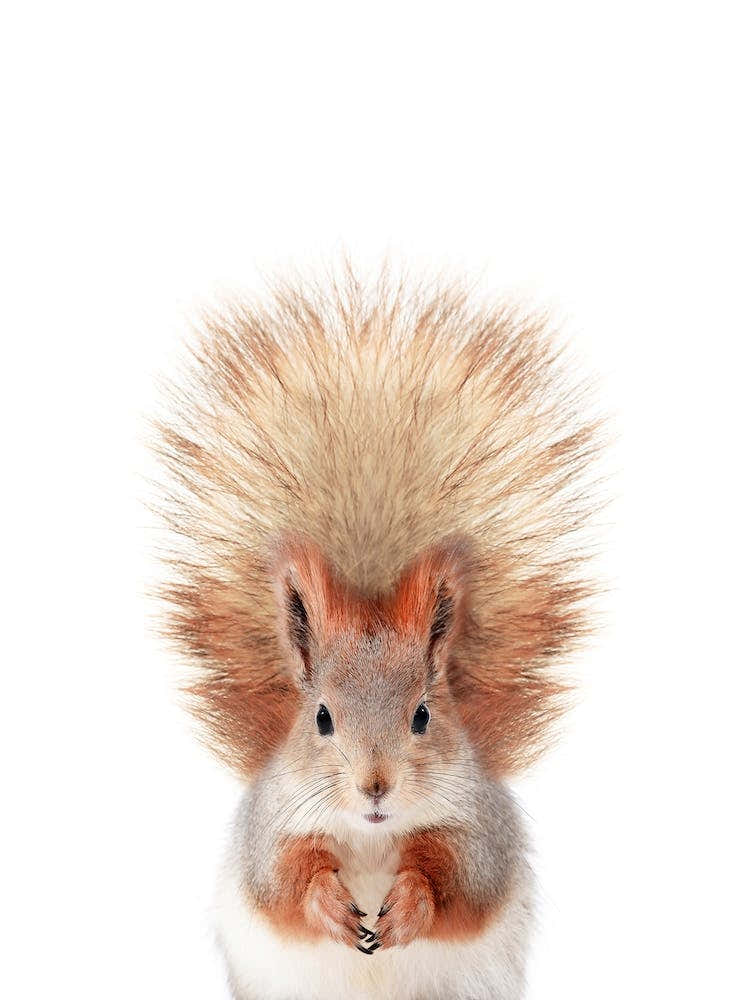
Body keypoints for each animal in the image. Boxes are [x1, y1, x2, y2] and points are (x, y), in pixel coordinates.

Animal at [153, 269, 602, 1000]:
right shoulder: (271, 830)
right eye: (320, 718)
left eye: (423, 715)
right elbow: (284, 883)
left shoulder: (477, 831)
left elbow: (457, 882)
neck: (368, 836)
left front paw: (410, 904)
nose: (375, 786)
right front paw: (329, 905)